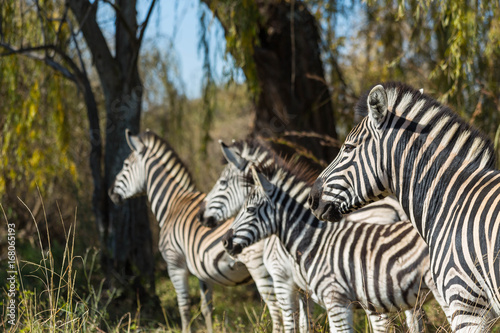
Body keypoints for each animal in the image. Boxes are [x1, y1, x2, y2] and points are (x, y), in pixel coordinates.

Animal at [107, 130, 284, 332]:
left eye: (125, 165)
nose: (110, 193)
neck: (172, 205)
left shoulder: (175, 264)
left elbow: (184, 307)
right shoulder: (202, 271)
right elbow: (207, 308)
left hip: (260, 267)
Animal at [199, 139, 450, 330]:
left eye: (222, 183)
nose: (224, 241)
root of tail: (397, 207)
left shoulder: (282, 280)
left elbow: (289, 322)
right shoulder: (303, 287)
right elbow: (304, 323)